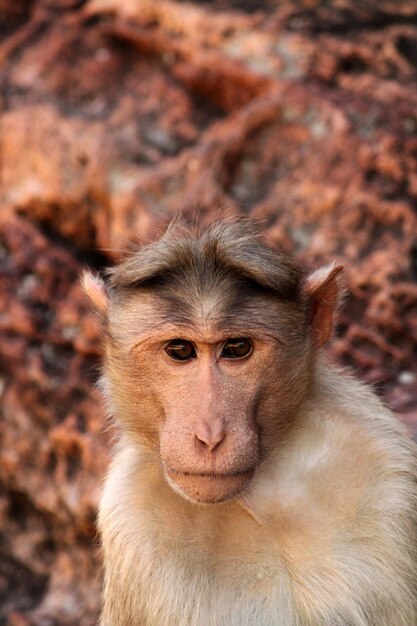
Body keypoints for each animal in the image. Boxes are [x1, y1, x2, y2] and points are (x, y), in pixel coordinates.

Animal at [83, 221, 416, 624]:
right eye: (180, 350)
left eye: (237, 348)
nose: (210, 435)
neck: (263, 492)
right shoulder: (131, 514)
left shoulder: (385, 466)